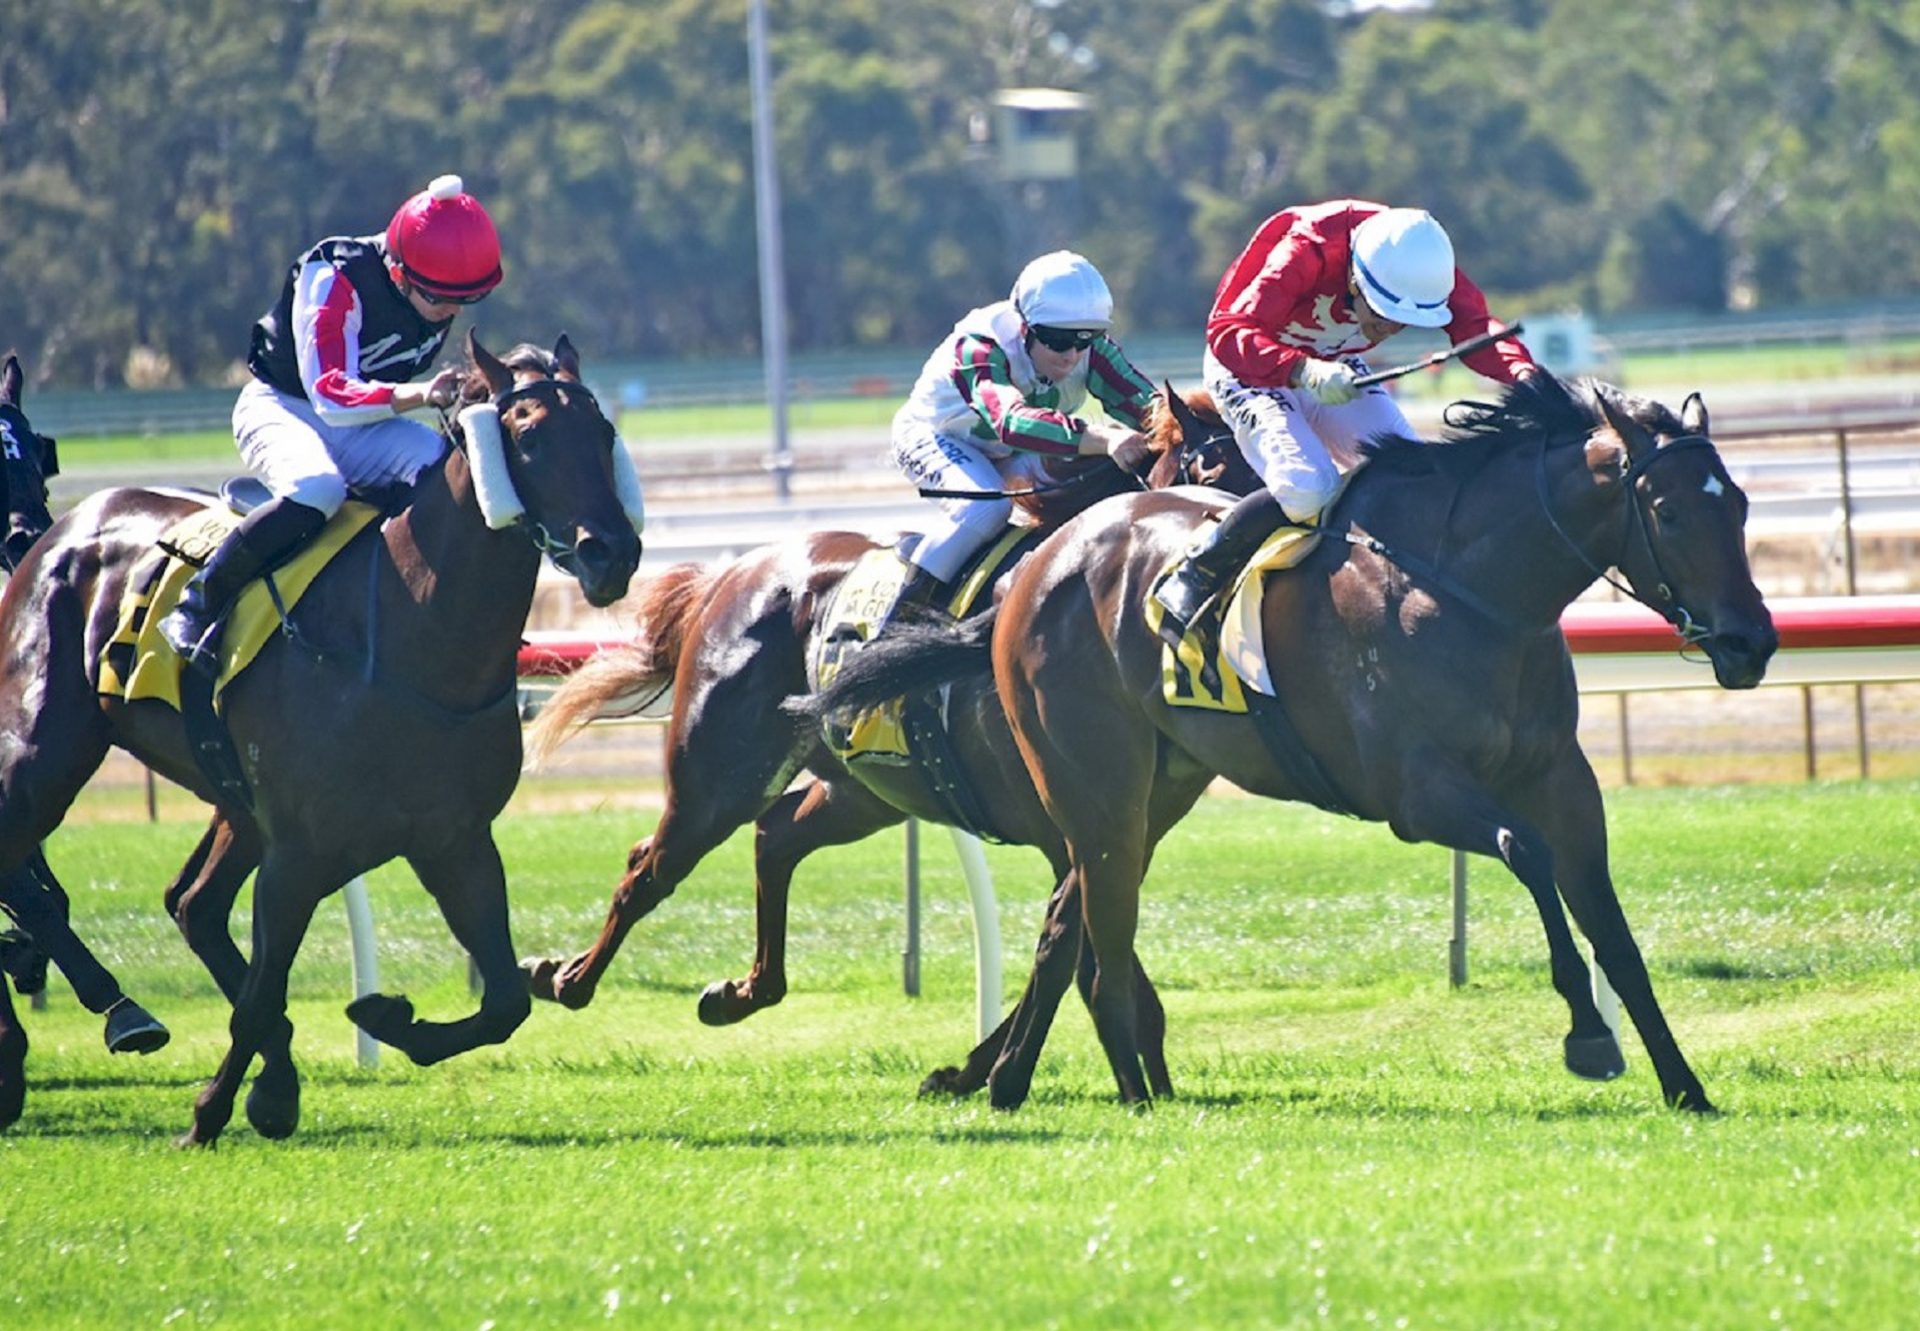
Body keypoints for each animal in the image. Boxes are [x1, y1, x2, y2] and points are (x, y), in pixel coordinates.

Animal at [0, 334, 645, 1144]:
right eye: (527, 437)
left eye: (604, 433)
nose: (610, 551)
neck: (411, 636)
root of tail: (66, 525)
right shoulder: (300, 853)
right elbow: (259, 994)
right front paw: (208, 1115)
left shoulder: (454, 840)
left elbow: (505, 1001)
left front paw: (383, 1019)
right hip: (41, 754)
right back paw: (115, 1016)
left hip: (234, 802)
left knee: (194, 904)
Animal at [522, 389, 1244, 1098]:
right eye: (1210, 469)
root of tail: (734, 574)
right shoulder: (1065, 821)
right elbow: (1078, 946)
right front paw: (999, 1069)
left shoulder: (1111, 824)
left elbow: (1077, 941)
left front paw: (981, 1069)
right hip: (717, 774)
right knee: (650, 866)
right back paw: (564, 977)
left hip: (861, 790)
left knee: (775, 835)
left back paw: (740, 991)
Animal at [802, 370, 1774, 1113]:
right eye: (1669, 513)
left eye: (1739, 504)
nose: (1751, 642)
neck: (1474, 590)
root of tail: (1035, 568)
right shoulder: (1417, 794)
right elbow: (1525, 853)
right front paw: (1588, 1035)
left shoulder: (1562, 780)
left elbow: (1611, 927)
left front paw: (1683, 1084)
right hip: (1095, 788)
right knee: (1095, 938)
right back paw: (1123, 1093)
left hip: (1149, 791)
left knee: (1070, 925)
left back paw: (1019, 1081)